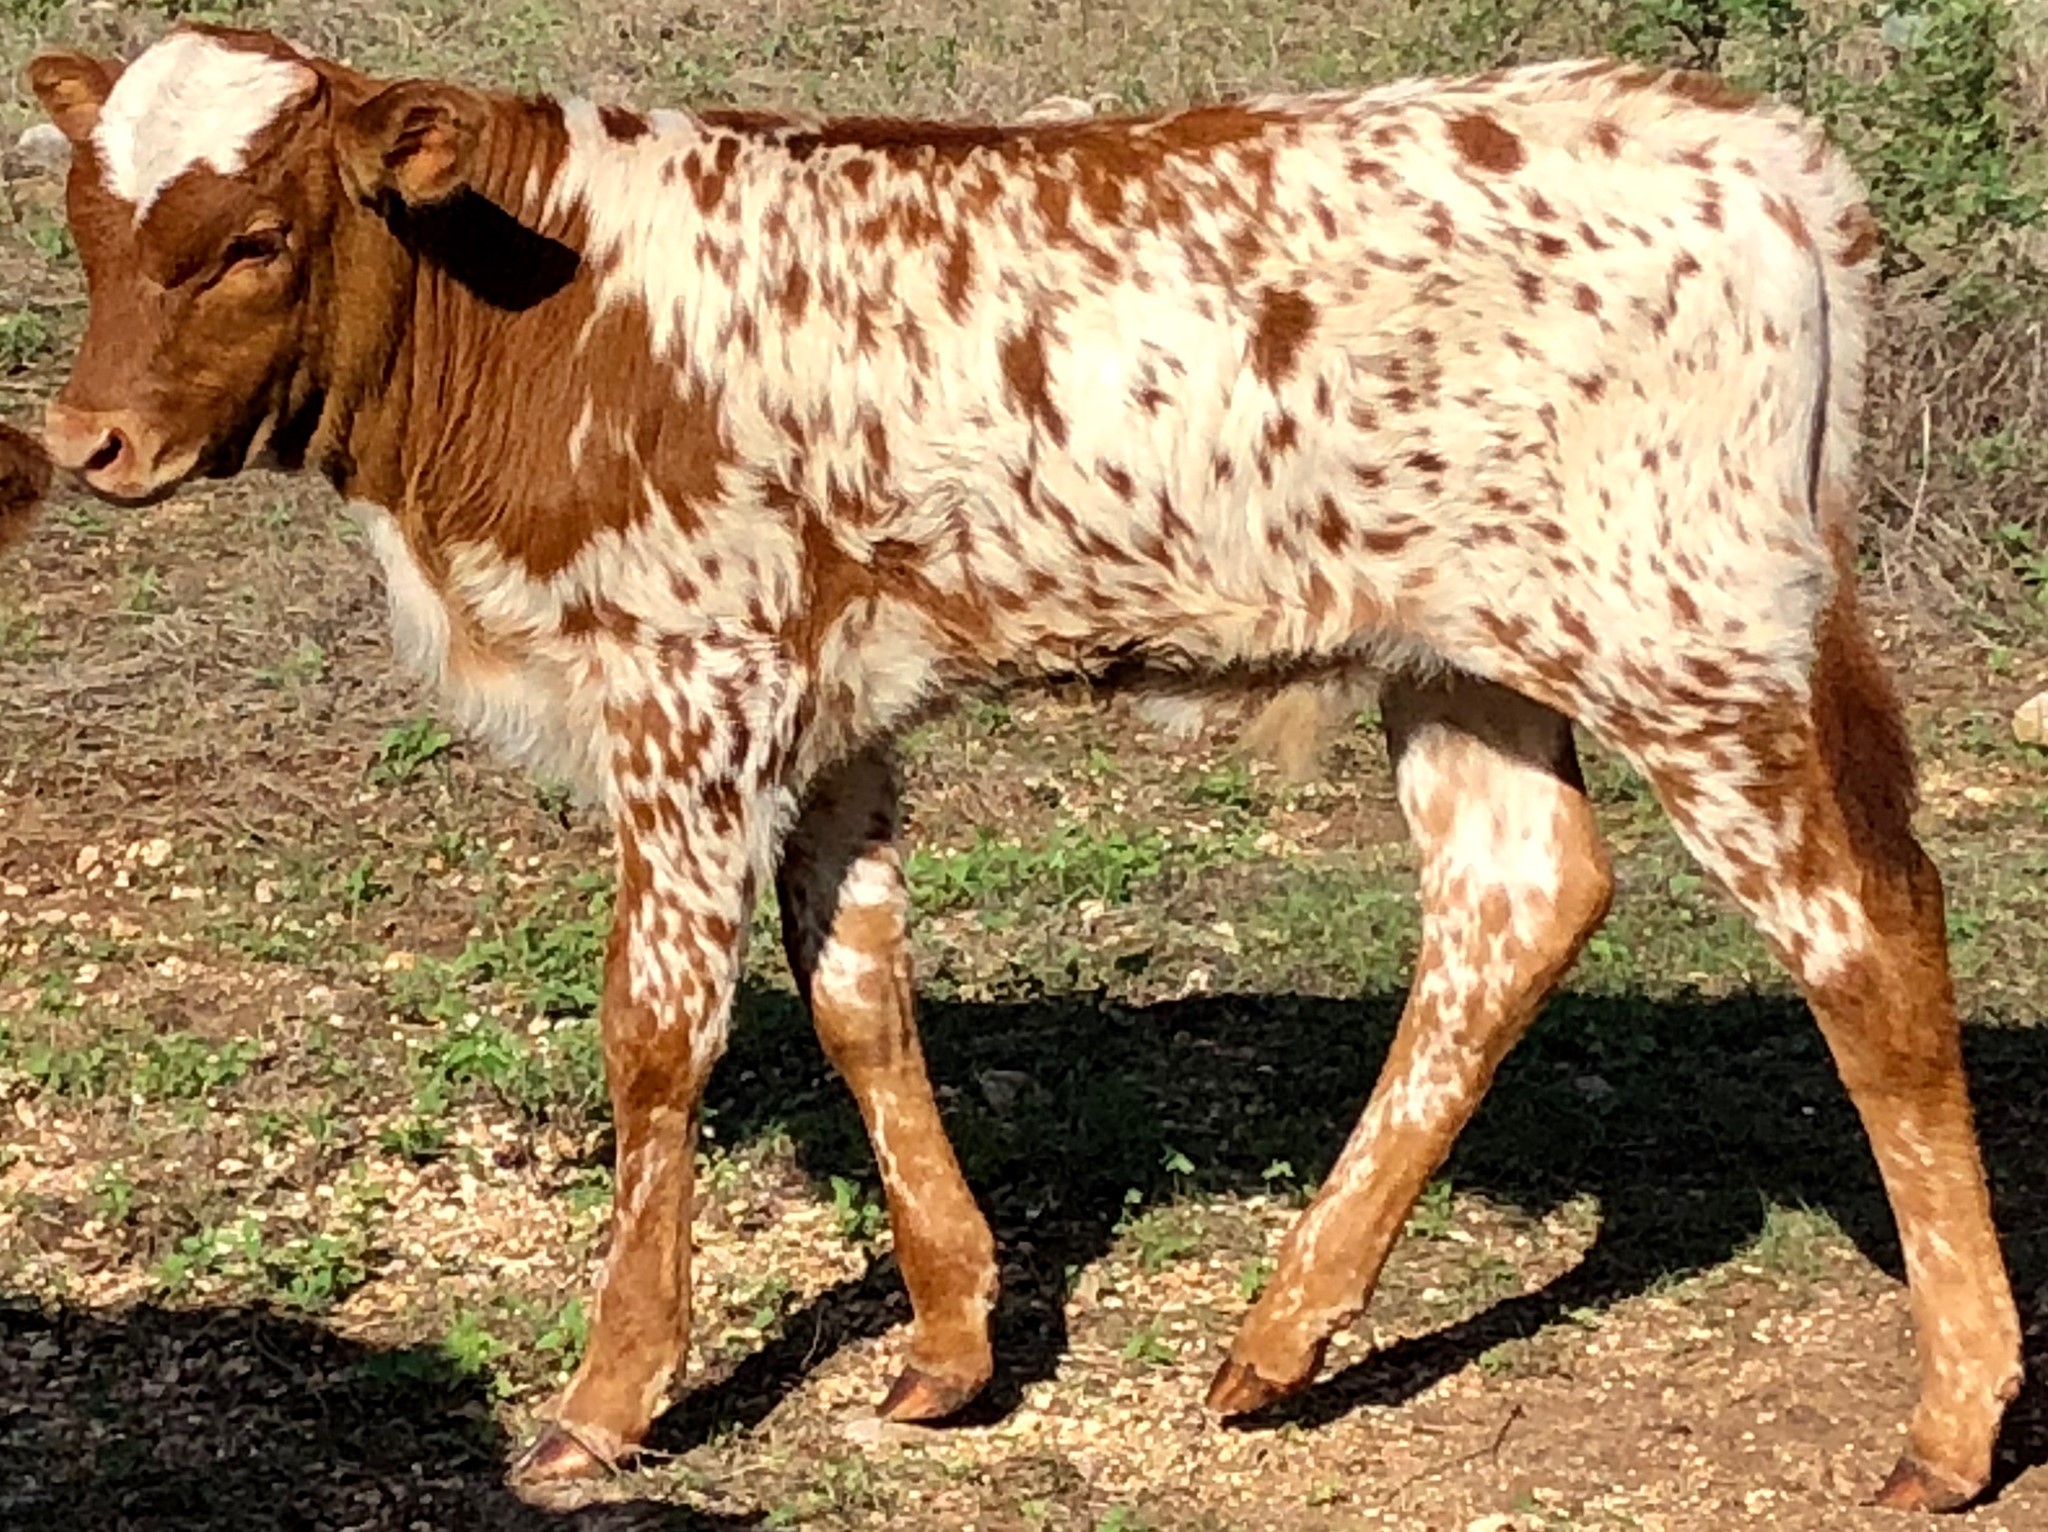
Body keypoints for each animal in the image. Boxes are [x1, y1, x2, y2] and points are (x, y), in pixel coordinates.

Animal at [25, 23, 2021, 1512]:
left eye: (255, 239)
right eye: (86, 228)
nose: (86, 439)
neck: (552, 314)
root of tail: (1735, 135)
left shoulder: (691, 686)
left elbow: (659, 1028)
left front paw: (607, 1397)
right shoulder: (828, 713)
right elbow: (859, 993)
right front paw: (949, 1344)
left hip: (1690, 634)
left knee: (1865, 932)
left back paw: (1951, 1417)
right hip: (1462, 646)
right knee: (1515, 895)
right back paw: (1277, 1339)